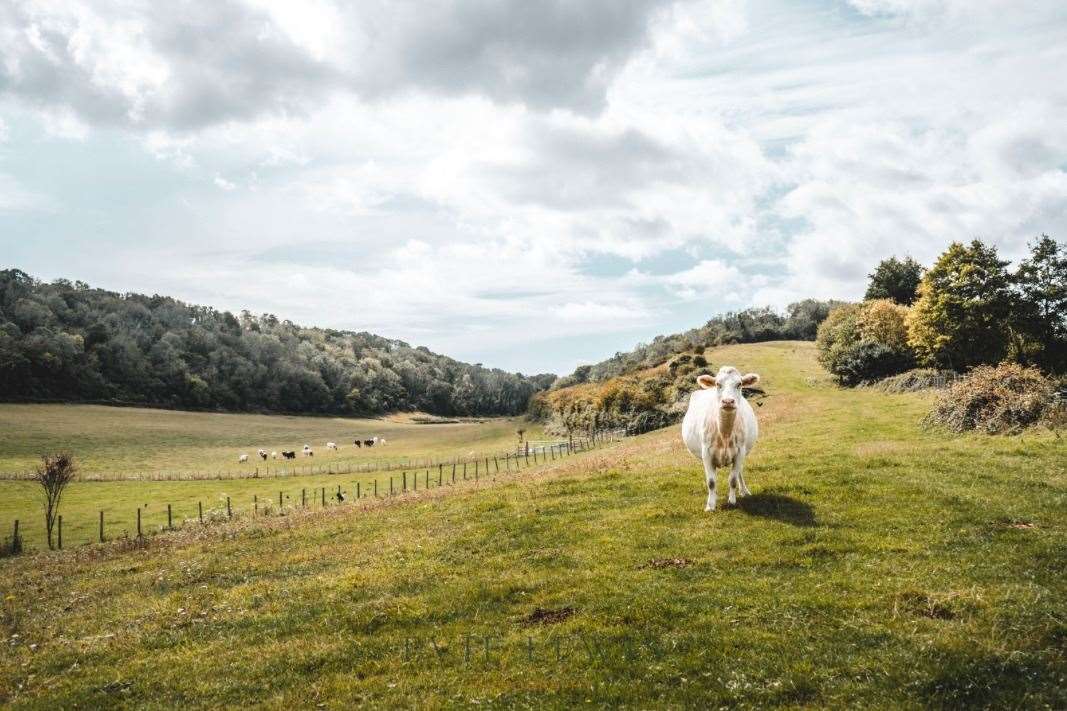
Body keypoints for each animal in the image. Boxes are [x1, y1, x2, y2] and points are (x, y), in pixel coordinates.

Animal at [682, 365, 759, 510]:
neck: (724, 433)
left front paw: (732, 501)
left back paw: (744, 491)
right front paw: (710, 505)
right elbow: (711, 482)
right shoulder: (706, 453)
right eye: (718, 384)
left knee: (739, 472)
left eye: (739, 384)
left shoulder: (740, 452)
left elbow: (733, 479)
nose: (728, 401)